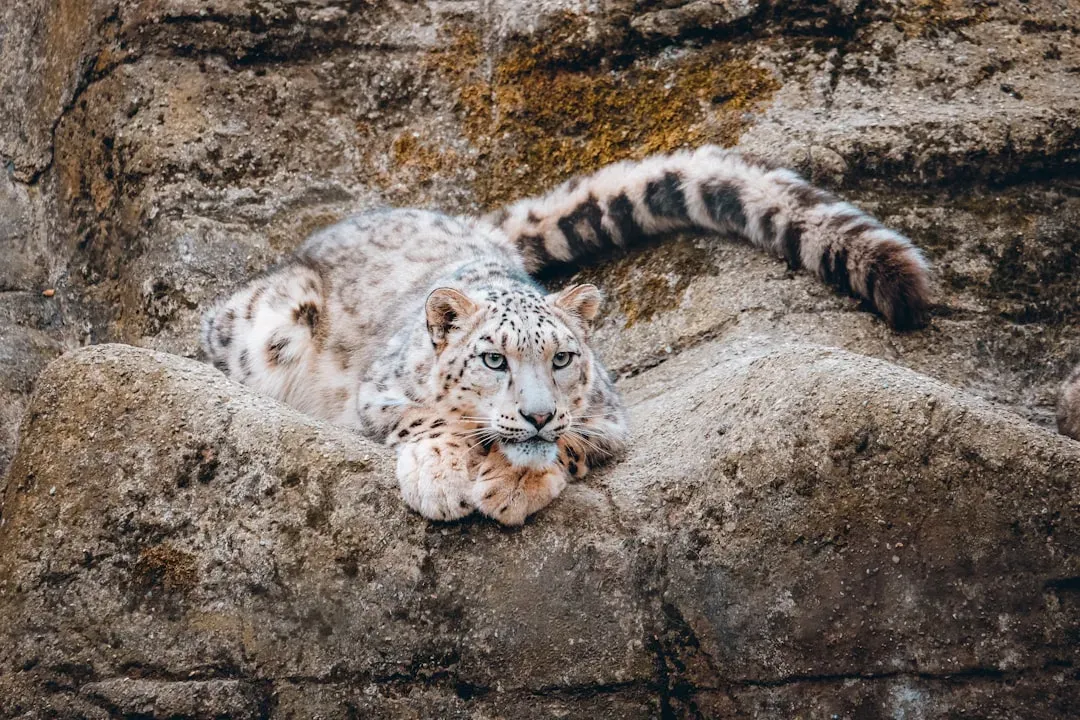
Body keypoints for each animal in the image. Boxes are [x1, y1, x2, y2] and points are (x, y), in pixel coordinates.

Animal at [201, 146, 931, 525]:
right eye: (492, 359)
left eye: (563, 358)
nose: (536, 413)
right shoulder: (377, 399)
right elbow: (435, 420)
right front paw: (441, 477)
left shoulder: (609, 419)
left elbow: (572, 444)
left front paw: (514, 484)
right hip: (268, 322)